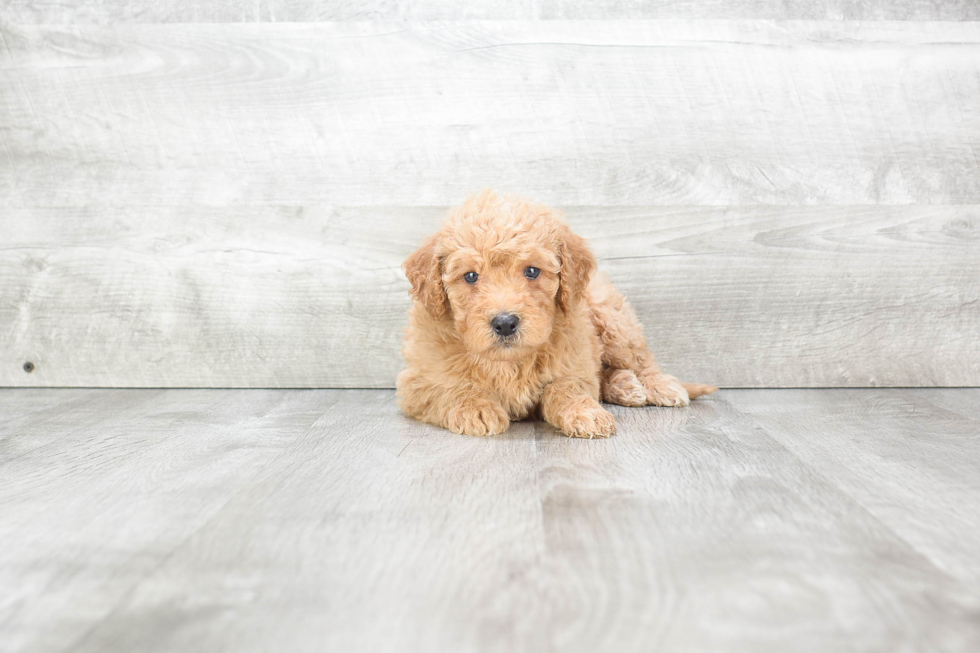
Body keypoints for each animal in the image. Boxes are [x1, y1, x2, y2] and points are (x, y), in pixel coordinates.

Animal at [394, 191, 716, 440]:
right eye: (471, 276)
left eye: (532, 271)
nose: (505, 323)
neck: (508, 361)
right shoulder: (417, 382)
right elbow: (450, 387)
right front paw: (476, 407)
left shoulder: (575, 365)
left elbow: (564, 388)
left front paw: (584, 412)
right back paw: (625, 386)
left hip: (614, 321)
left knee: (641, 360)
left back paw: (657, 386)